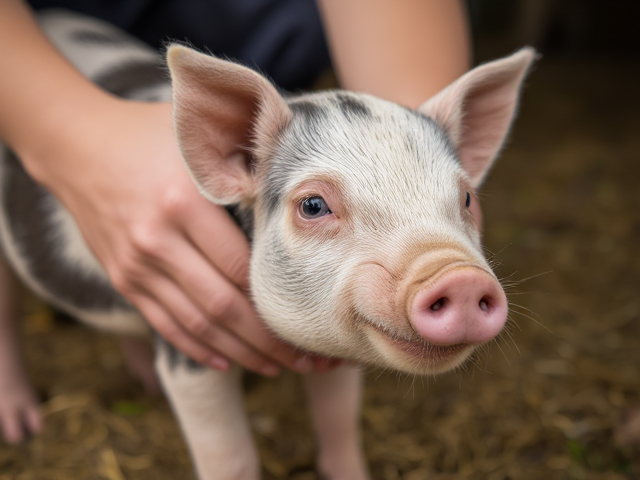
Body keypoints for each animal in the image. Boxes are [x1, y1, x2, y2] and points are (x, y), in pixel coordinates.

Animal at [0, 10, 534, 480]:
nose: (459, 278)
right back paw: (23, 427)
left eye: (466, 198)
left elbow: (338, 422)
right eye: (313, 205)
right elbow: (231, 456)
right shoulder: (188, 340)